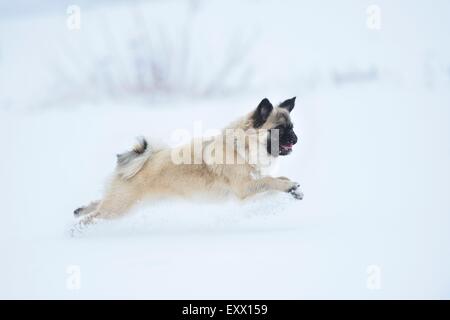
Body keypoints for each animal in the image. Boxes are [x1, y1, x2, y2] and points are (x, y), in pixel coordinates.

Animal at [73, 97, 302, 232]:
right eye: (280, 129)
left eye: (292, 126)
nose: (296, 139)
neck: (242, 147)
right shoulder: (245, 188)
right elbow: (271, 181)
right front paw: (289, 186)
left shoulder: (250, 190)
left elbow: (275, 180)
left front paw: (293, 189)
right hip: (117, 209)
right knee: (93, 217)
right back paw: (75, 230)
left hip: (122, 205)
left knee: (97, 204)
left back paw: (80, 209)